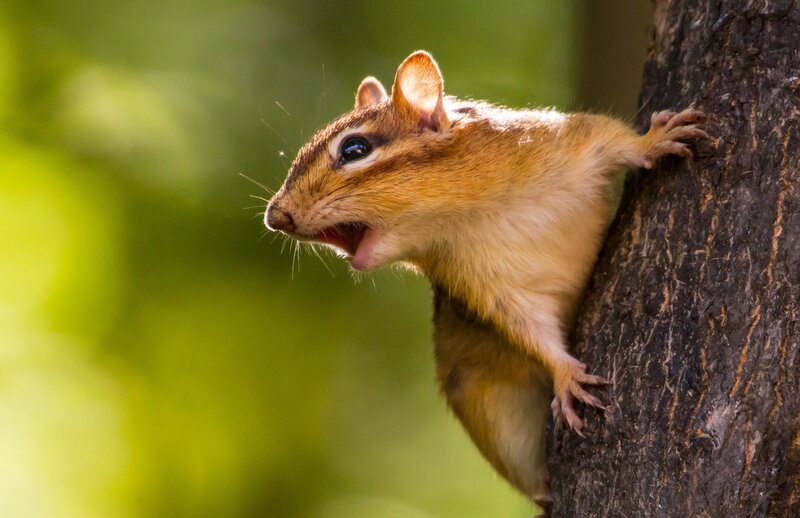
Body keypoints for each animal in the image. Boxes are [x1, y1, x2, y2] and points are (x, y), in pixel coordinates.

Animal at [264, 50, 708, 514]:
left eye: (355, 149)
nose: (275, 216)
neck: (464, 214)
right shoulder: (489, 289)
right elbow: (527, 328)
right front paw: (566, 374)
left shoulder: (565, 141)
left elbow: (612, 137)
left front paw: (654, 139)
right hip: (494, 414)